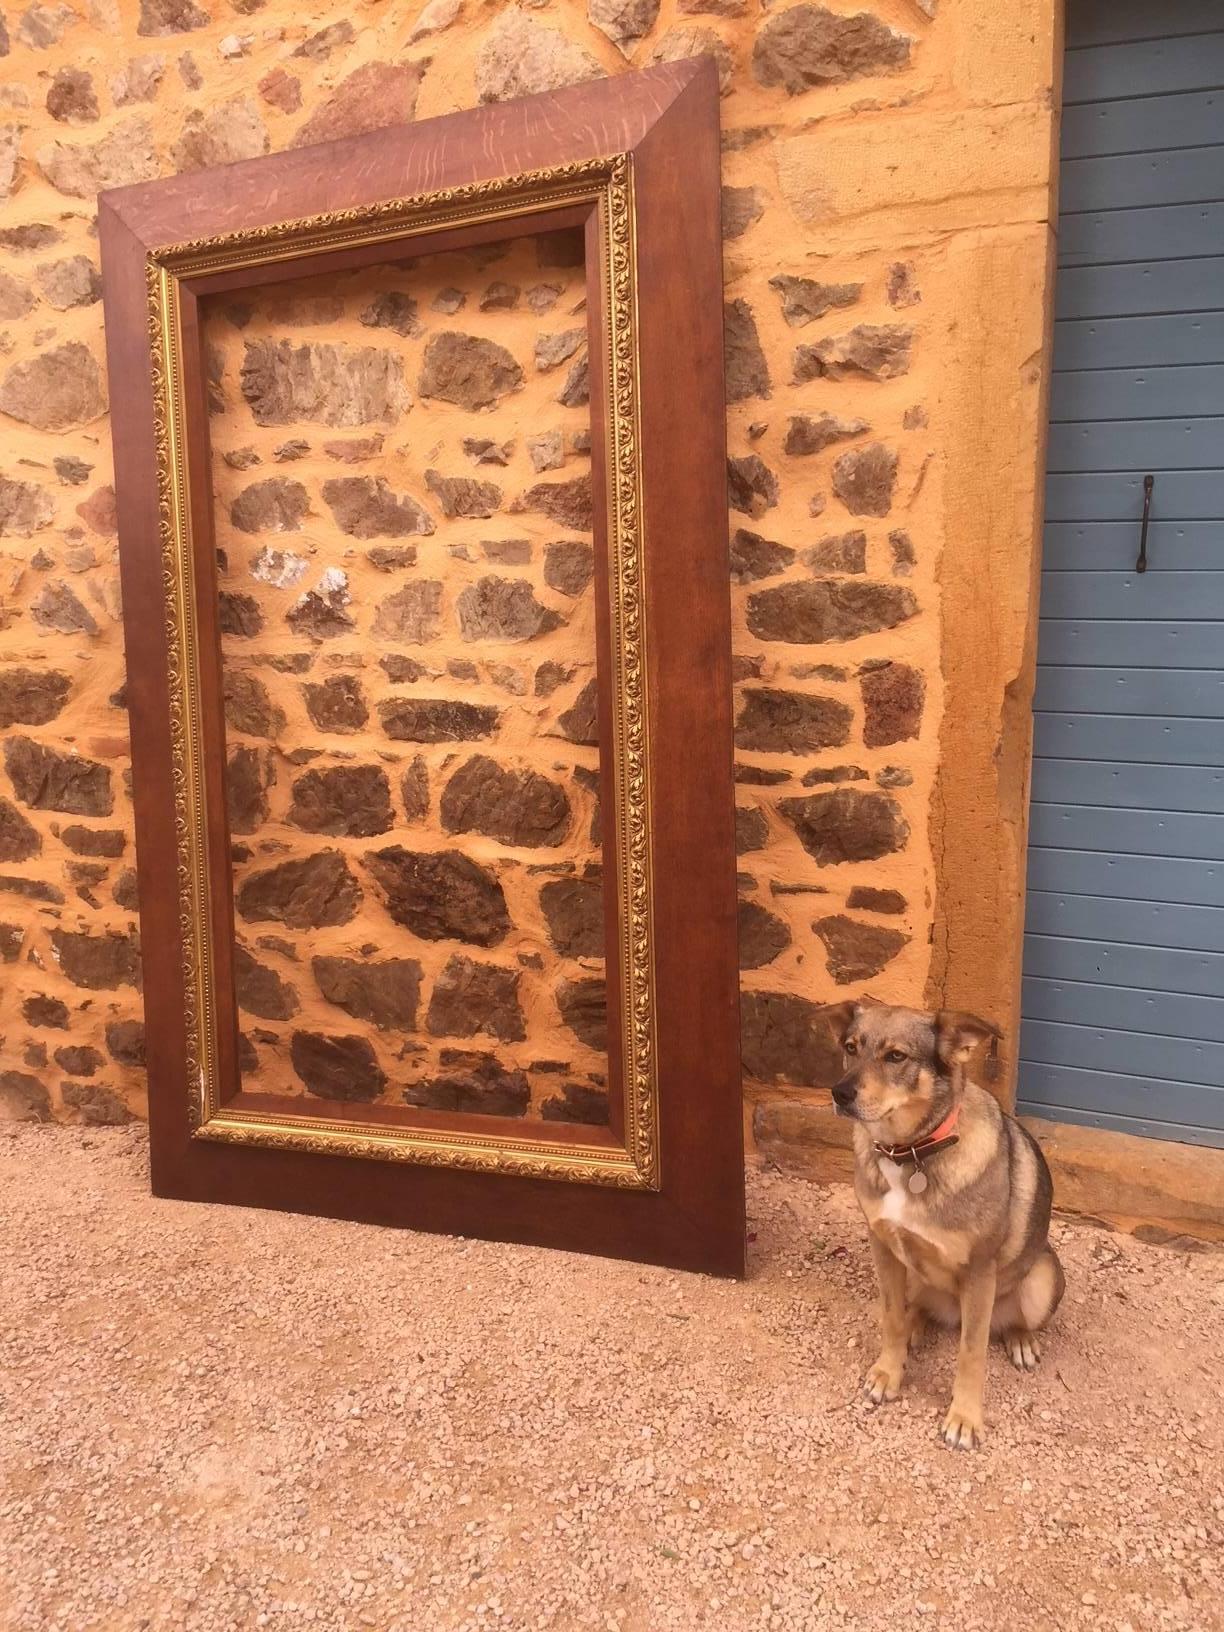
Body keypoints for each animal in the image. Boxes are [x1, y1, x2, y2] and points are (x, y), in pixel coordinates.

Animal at [829, 998, 1070, 1449]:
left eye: (896, 1056)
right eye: (851, 1048)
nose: (839, 1093)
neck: (910, 1152)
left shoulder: (978, 1271)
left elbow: (971, 1353)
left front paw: (965, 1417)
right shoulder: (884, 1247)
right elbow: (891, 1317)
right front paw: (889, 1372)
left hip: (1041, 1277)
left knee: (1012, 1321)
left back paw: (1020, 1339)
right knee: (916, 1310)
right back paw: (916, 1325)